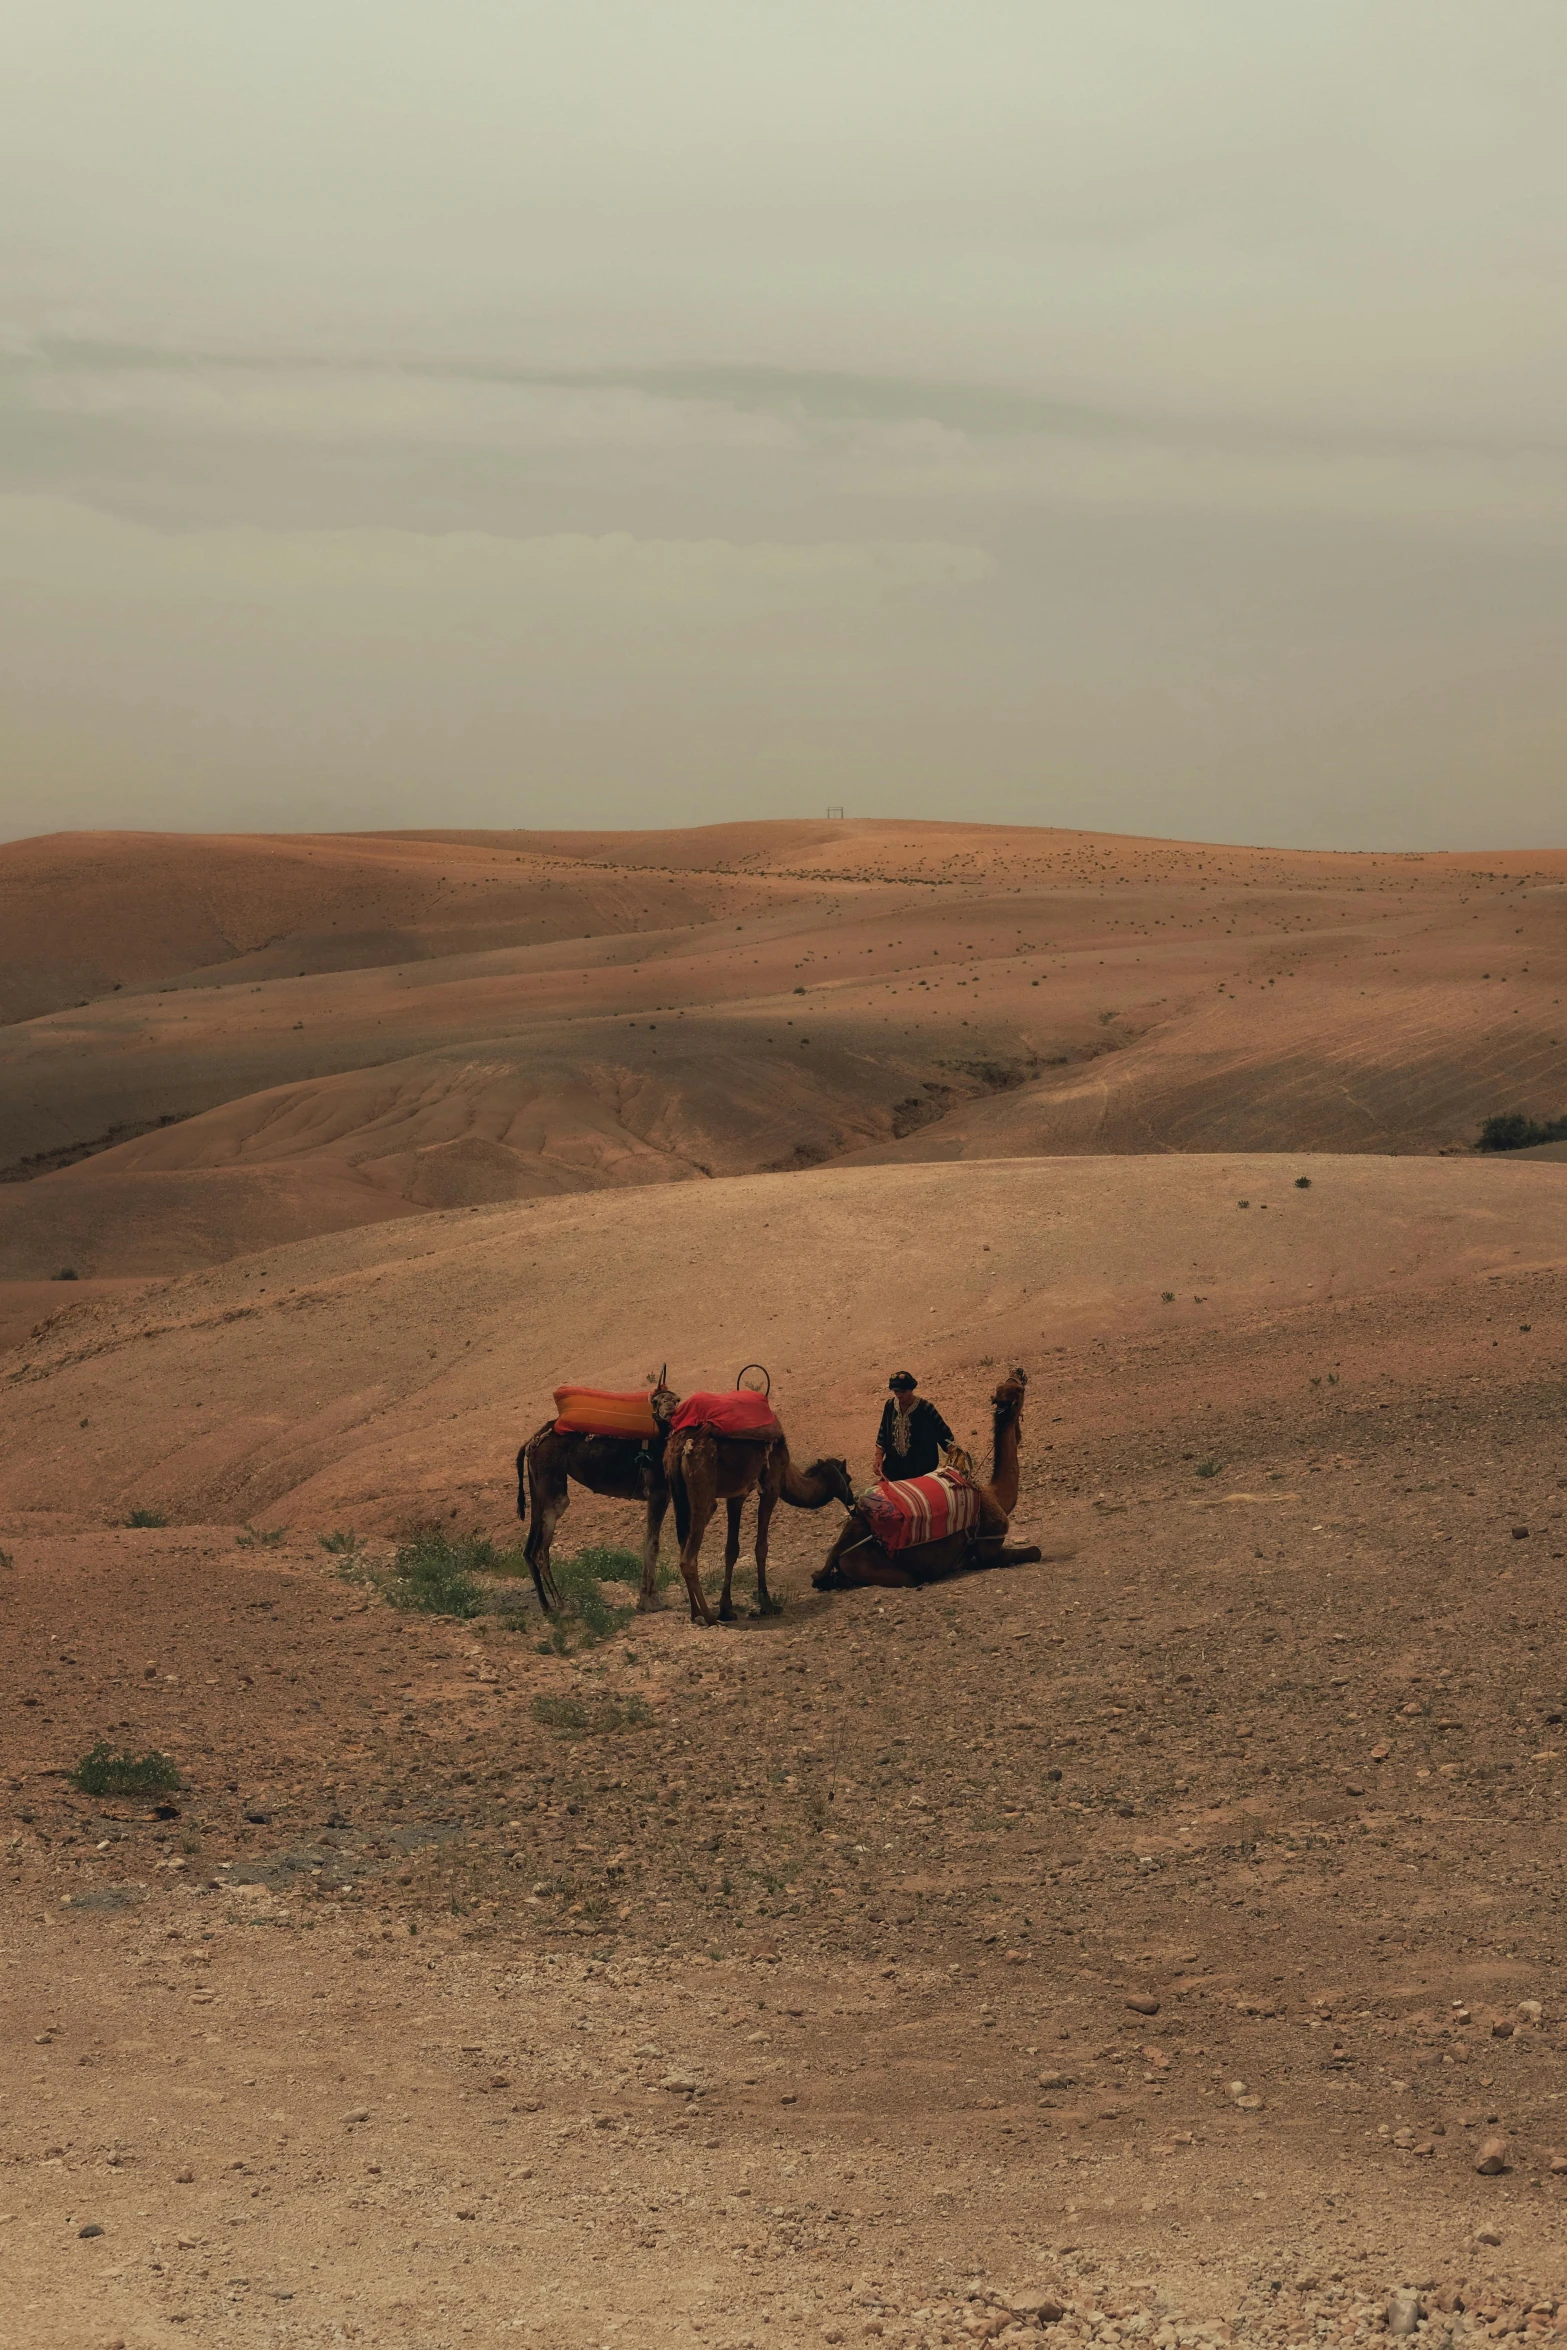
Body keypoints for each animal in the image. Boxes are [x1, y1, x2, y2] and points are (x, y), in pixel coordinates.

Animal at [521, 1372, 681, 1616]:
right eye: (656, 1401)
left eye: (677, 1400)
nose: (669, 1409)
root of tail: (533, 1440)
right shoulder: (658, 1492)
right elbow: (653, 1544)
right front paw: (651, 1602)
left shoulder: (660, 1495)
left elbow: (648, 1541)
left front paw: (646, 1600)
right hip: (552, 1482)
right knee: (540, 1548)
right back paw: (562, 1606)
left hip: (537, 1487)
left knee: (529, 1548)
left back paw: (546, 1606)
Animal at [667, 1419, 859, 1626]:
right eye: (848, 1478)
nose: (852, 1499)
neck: (787, 1474)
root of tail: (680, 1449)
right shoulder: (771, 1487)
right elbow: (761, 1547)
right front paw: (767, 1605)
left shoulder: (737, 1495)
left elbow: (731, 1550)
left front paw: (727, 1609)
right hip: (702, 1490)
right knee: (688, 1558)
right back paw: (709, 1617)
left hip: (680, 1498)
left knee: (683, 1545)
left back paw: (695, 1613)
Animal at [817, 1363, 1047, 1597]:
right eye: (1019, 1390)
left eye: (1010, 1384)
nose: (1018, 1371)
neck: (996, 1496)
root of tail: (840, 1547)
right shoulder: (989, 1548)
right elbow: (1035, 1551)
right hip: (885, 1569)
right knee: (908, 1578)